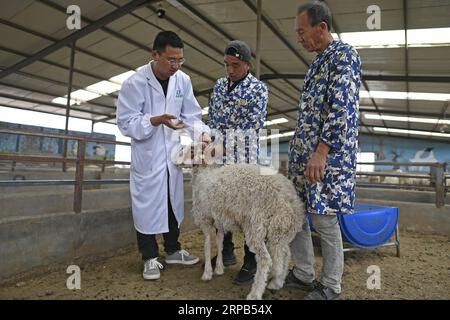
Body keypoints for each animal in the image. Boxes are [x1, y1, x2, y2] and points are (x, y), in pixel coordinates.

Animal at [190, 164, 306, 302]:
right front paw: (219, 268)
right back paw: (277, 282)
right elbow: (219, 243)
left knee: (265, 259)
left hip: (256, 227)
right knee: (285, 254)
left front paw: (207, 273)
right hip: (279, 231)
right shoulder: (220, 220)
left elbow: (207, 245)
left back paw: (255, 293)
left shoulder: (205, 218)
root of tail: (288, 197)